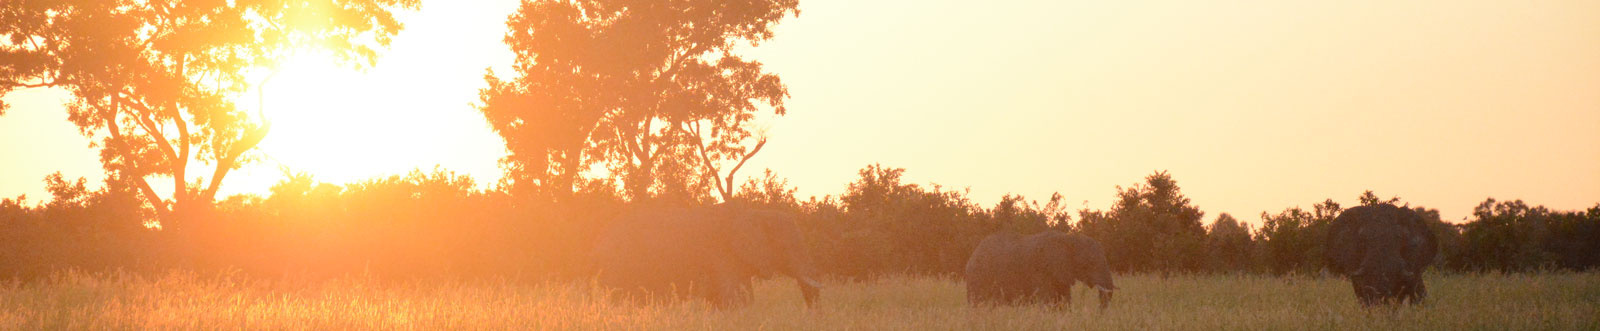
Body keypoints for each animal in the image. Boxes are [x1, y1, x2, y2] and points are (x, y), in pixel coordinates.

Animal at [592, 203, 825, 308]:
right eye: (787, 247)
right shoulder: (721, 255)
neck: (754, 212)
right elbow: (733, 296)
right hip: (619, 265)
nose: (812, 315)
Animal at [960, 231, 1113, 308]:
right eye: (1089, 263)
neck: (1068, 238)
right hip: (978, 277)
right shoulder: (1041, 272)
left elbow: (1064, 301)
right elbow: (1047, 301)